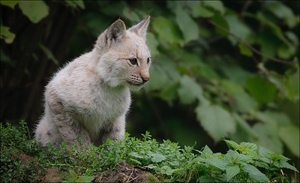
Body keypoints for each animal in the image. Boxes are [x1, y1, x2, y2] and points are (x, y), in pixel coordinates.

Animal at [34, 16, 151, 147]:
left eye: (148, 60)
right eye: (133, 61)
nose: (147, 78)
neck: (111, 88)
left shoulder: (116, 118)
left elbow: (114, 142)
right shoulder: (55, 97)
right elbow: (76, 135)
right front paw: (85, 152)